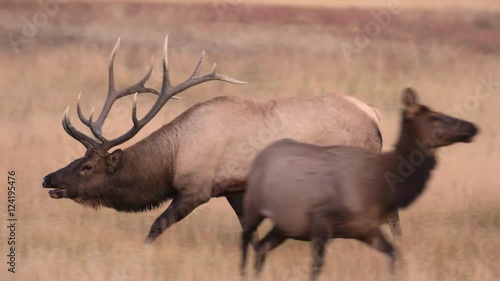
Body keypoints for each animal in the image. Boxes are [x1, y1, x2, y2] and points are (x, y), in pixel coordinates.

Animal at [42, 35, 402, 243]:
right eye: (76, 160)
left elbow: (156, 226)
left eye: (87, 166)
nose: (48, 179)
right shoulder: (234, 188)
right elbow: (249, 232)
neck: (173, 159)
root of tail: (374, 114)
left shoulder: (196, 189)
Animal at [240, 88, 478, 280]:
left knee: (261, 247)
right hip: (253, 206)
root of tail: (260, 157)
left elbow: (394, 254)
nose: (473, 127)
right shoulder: (320, 220)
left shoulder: (365, 229)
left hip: (283, 225)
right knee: (245, 238)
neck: (380, 185)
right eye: (434, 117)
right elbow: (315, 269)